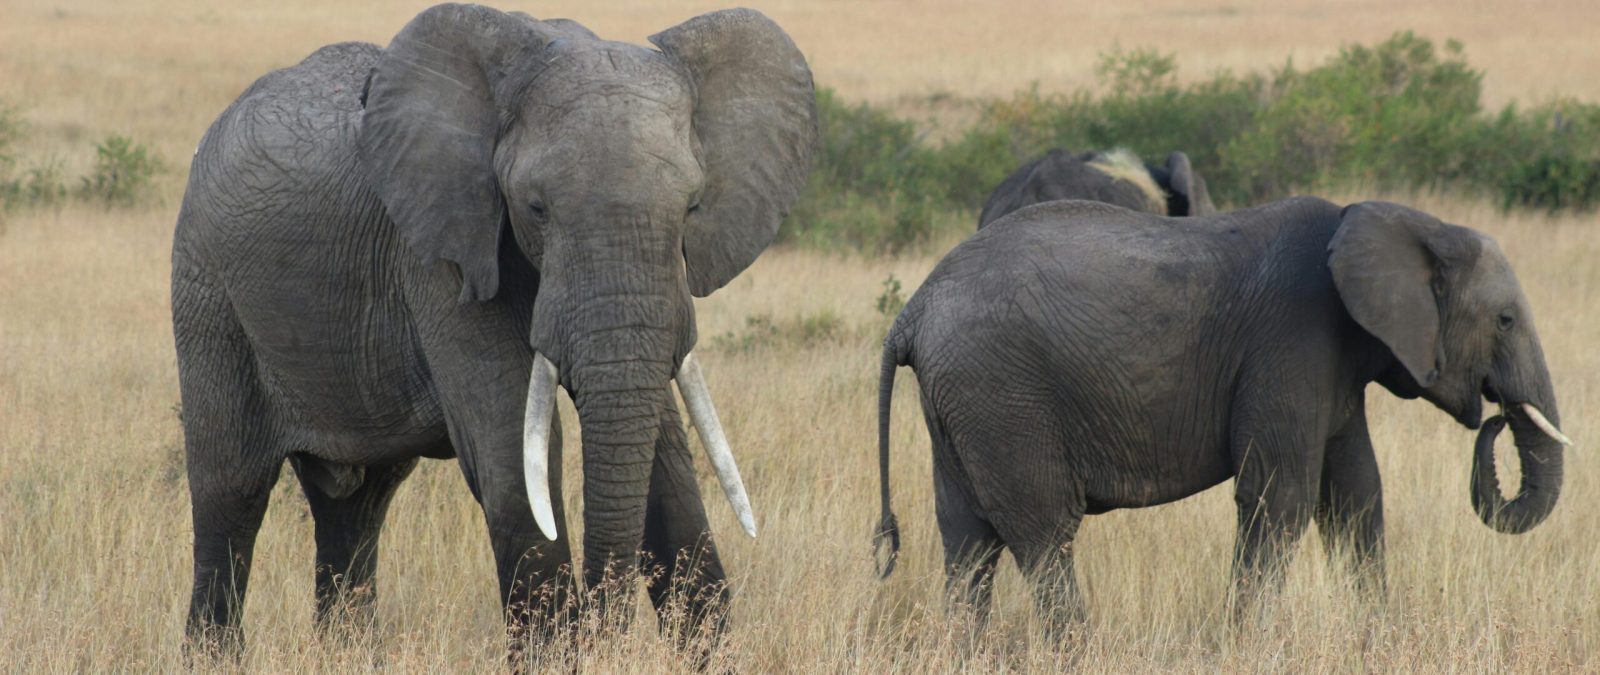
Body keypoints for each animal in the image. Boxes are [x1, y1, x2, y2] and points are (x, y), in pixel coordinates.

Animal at [170, 3, 816, 656]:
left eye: (690, 209)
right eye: (535, 208)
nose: (602, 630)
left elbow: (670, 470)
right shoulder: (442, 254)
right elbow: (512, 459)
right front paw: (557, 654)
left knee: (357, 502)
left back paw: (348, 652)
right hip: (207, 288)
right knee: (232, 488)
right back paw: (216, 654)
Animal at [873, 197, 1570, 632]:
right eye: (1505, 320)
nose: (1496, 413)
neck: (1406, 221)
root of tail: (913, 310)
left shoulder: (1336, 368)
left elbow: (1355, 496)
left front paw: (1378, 636)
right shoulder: (1292, 343)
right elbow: (1278, 497)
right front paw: (1245, 644)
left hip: (962, 403)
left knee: (967, 541)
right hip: (1001, 395)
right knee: (1043, 533)